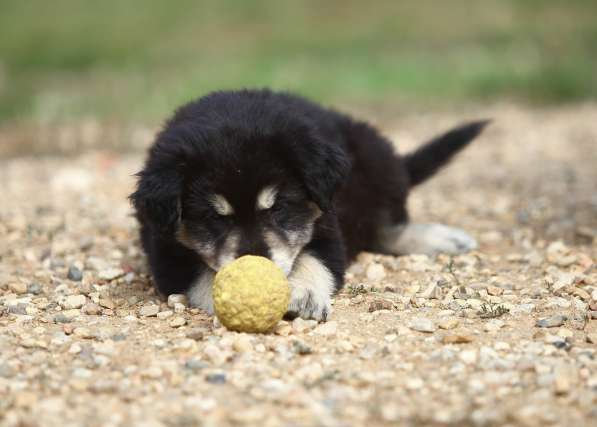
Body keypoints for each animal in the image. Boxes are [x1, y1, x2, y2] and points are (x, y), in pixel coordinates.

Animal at [129, 89, 484, 320]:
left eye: (278, 207)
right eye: (213, 218)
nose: (260, 263)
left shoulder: (327, 228)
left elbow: (313, 261)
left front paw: (302, 295)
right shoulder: (167, 253)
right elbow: (205, 275)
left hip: (378, 160)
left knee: (387, 225)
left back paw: (443, 238)